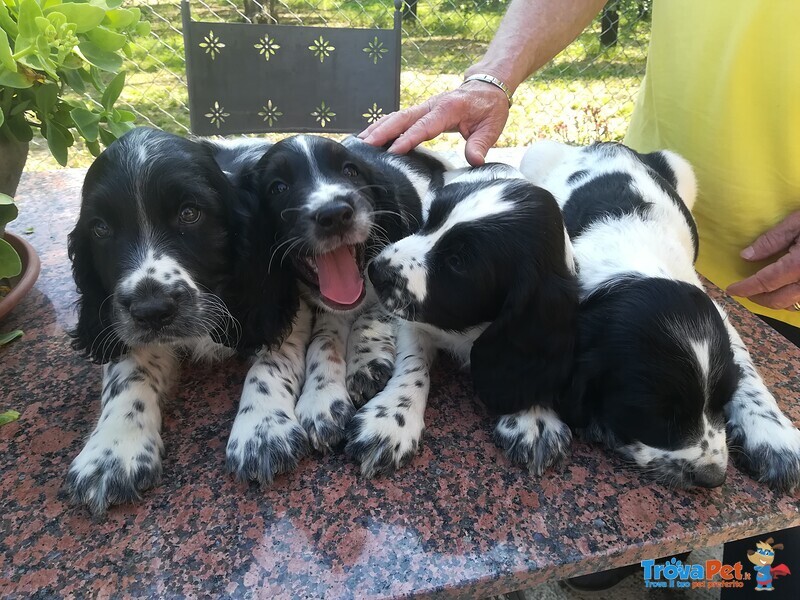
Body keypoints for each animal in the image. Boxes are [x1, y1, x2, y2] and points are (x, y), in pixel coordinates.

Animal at [67, 127, 310, 516]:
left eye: (190, 214)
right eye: (100, 228)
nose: (152, 309)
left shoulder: (279, 303)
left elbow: (272, 362)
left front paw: (262, 429)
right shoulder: (123, 323)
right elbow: (127, 376)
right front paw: (111, 452)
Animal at [238, 136, 450, 452]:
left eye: (350, 171)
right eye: (278, 187)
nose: (335, 213)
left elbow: (372, 314)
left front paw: (366, 360)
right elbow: (323, 339)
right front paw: (322, 399)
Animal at [352, 164, 580, 478]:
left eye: (458, 262)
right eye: (429, 222)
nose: (375, 271)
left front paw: (536, 417)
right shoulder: (413, 320)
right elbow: (413, 364)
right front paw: (392, 417)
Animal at [520, 141, 800, 492]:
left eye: (722, 399)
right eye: (659, 415)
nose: (712, 478)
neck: (634, 257)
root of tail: (607, 144)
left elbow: (747, 373)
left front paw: (774, 438)